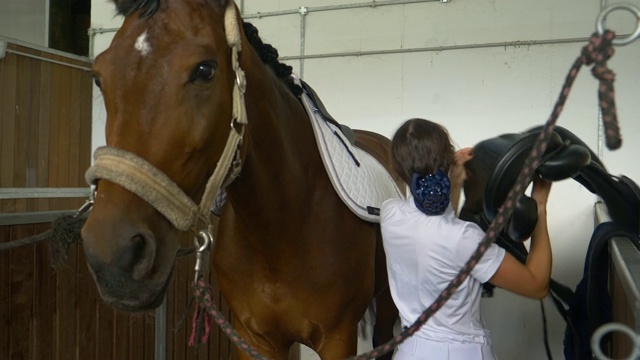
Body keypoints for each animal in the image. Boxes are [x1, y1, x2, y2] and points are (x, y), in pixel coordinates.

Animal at [80, 0, 400, 358]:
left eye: (205, 70)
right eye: (99, 77)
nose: (112, 255)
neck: (284, 229)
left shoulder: (337, 339)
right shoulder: (253, 337)